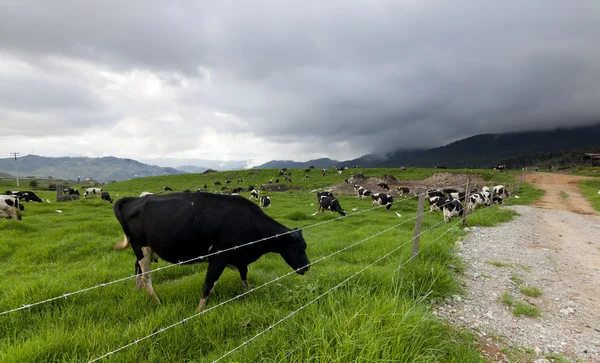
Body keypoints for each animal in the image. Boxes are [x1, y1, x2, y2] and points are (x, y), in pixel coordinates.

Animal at [112, 193, 310, 310]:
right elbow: (208, 284)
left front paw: (246, 294)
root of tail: (132, 199)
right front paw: (199, 310)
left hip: (144, 251)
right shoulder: (219, 256)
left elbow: (243, 276)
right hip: (142, 249)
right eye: (299, 248)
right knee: (147, 278)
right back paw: (157, 302)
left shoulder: (238, 257)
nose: (307, 267)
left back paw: (138, 293)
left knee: (137, 270)